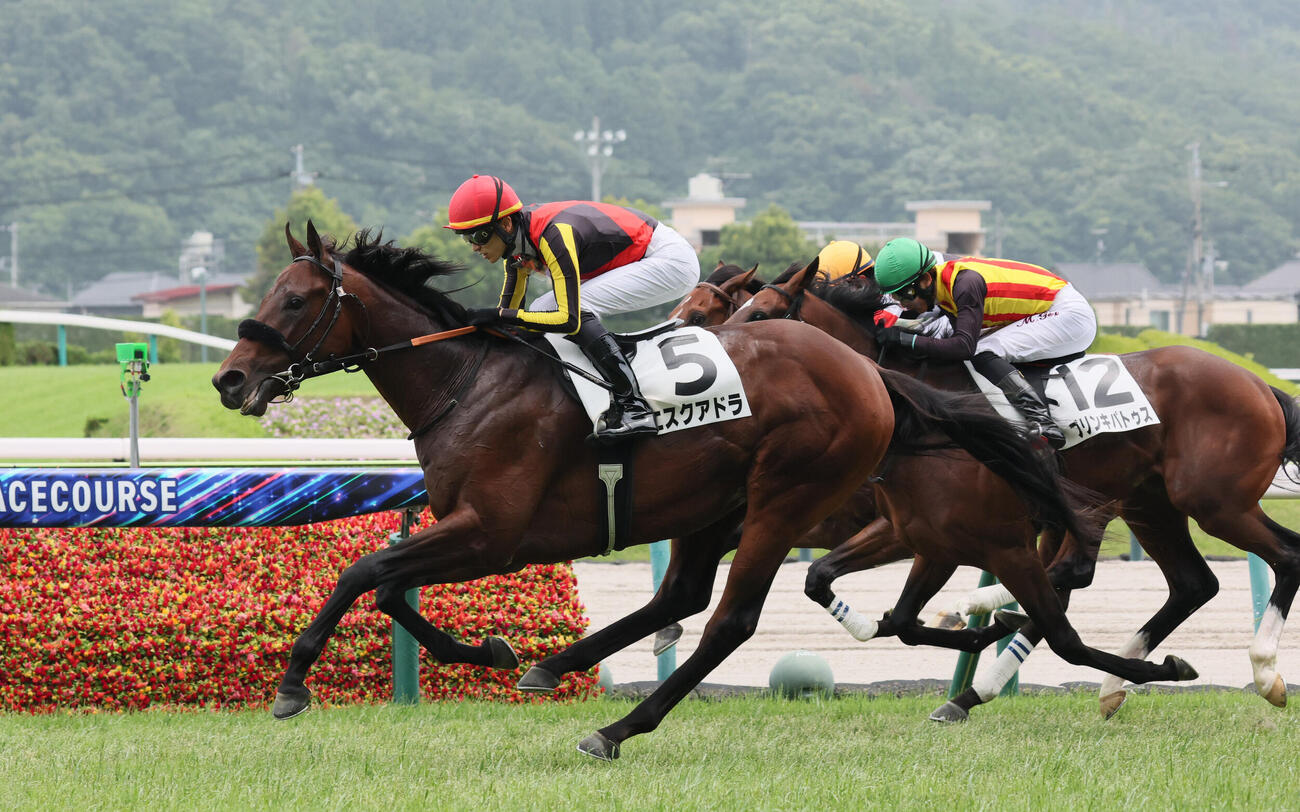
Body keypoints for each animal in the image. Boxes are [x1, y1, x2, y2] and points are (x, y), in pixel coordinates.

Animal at [212, 223, 1098, 761]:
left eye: (295, 299)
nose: (230, 381)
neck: (468, 382)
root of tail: (867, 369)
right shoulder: (467, 529)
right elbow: (391, 590)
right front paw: (496, 652)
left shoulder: (492, 531)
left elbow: (363, 574)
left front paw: (291, 684)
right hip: (715, 504)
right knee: (682, 595)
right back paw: (561, 668)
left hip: (783, 495)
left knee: (728, 618)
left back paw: (616, 727)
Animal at [730, 260, 1300, 720]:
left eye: (762, 316)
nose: (727, 354)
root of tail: (1259, 384)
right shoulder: (908, 530)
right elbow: (833, 582)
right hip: (1150, 506)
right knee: (1189, 584)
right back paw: (1103, 686)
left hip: (1214, 503)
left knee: (1285, 555)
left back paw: (1265, 673)